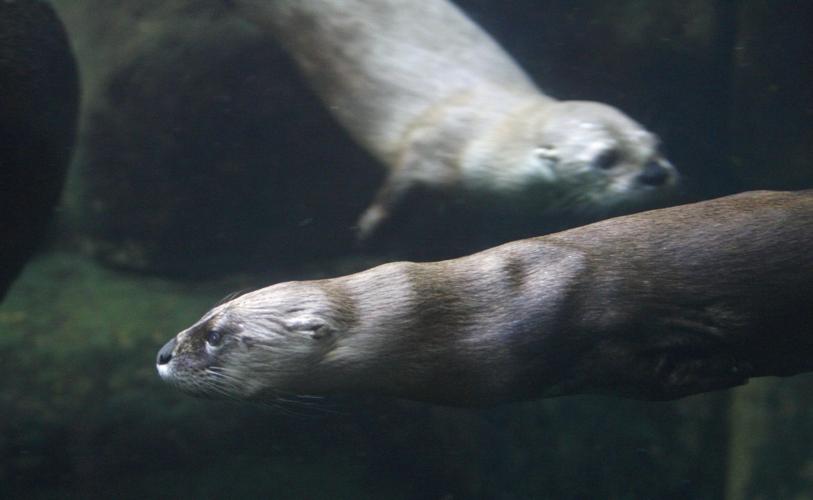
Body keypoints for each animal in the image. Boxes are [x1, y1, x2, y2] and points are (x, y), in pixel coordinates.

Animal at [230, 0, 678, 239]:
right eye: (606, 158)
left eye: (655, 143)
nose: (655, 174)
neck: (485, 140)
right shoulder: (429, 143)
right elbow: (396, 182)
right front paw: (368, 227)